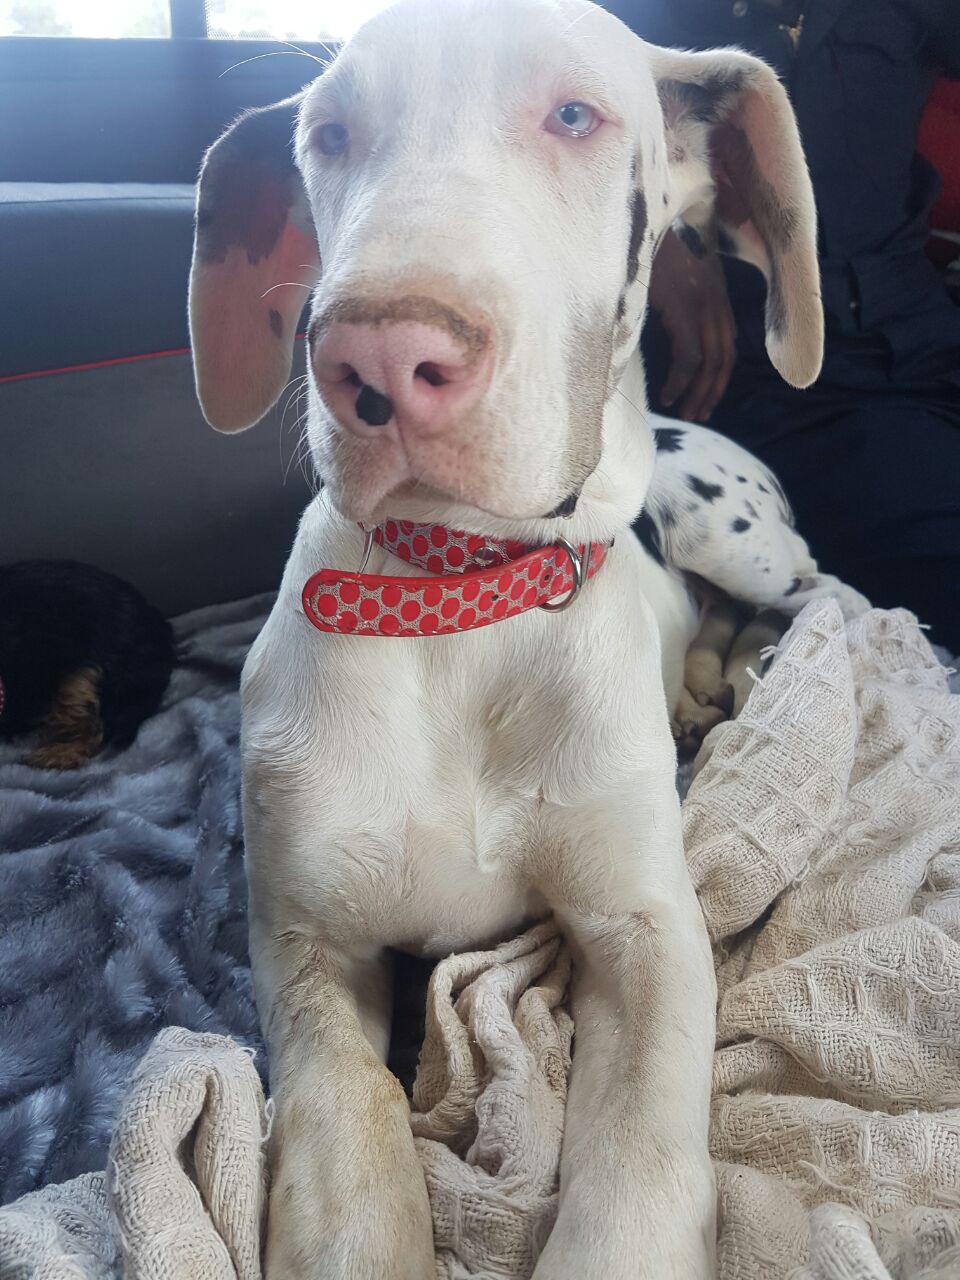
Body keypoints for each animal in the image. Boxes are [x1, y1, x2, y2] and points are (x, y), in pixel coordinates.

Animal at [192, 5, 855, 1274]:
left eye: (575, 114)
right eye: (329, 133)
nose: (380, 359)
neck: (463, 606)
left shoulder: (648, 938)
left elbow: (637, 1177)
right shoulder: (308, 956)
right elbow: (353, 1138)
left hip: (739, 535)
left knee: (824, 595)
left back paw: (760, 667)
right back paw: (707, 680)